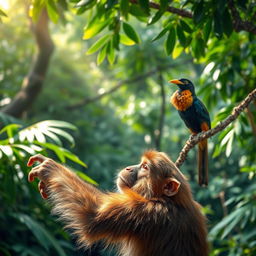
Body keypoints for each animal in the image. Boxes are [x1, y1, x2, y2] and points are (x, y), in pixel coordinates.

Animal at [27, 150, 208, 256]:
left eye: (145, 167)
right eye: (140, 163)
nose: (129, 168)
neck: (173, 202)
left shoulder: (144, 210)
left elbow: (92, 217)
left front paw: (50, 168)